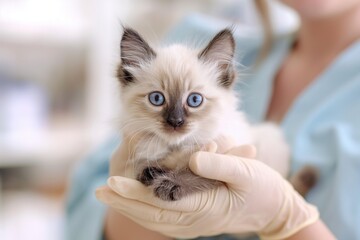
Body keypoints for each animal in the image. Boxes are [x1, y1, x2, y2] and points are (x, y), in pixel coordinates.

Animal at [117, 27, 312, 202]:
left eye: (194, 100)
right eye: (157, 99)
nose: (175, 121)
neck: (179, 146)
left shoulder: (233, 160)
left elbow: (199, 173)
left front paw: (170, 183)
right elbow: (146, 165)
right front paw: (152, 173)